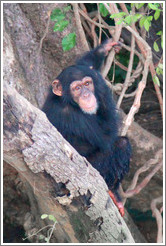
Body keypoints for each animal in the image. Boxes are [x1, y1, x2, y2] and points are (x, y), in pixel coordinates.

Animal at [42, 39, 132, 216]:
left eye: (87, 84)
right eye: (77, 88)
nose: (86, 94)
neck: (67, 101)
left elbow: (85, 65)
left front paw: (103, 49)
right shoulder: (74, 117)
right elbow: (107, 138)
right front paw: (102, 85)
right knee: (122, 144)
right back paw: (113, 192)